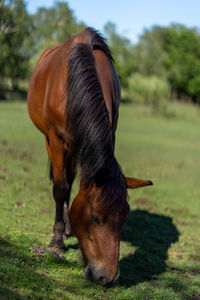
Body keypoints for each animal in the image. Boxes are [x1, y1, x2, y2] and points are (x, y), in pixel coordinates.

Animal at [27, 28, 152, 286]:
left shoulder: (107, 132)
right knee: (62, 182)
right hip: (52, 141)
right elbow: (60, 188)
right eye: (95, 218)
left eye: (125, 218)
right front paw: (57, 241)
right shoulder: (55, 139)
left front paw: (65, 229)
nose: (108, 277)